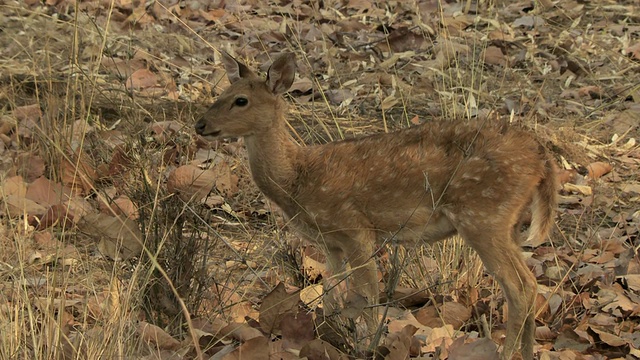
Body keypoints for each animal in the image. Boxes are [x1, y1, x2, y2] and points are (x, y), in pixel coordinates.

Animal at [194, 51, 556, 360]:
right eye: (222, 92)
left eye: (241, 100)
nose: (200, 124)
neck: (297, 179)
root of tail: (540, 157)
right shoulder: (330, 243)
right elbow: (331, 296)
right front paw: (333, 338)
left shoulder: (356, 229)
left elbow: (366, 295)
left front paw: (366, 345)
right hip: (505, 221)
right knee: (530, 285)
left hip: (483, 215)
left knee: (520, 288)